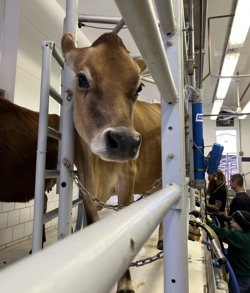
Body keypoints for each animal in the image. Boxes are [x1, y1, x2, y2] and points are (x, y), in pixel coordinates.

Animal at [61, 32, 161, 292]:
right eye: (81, 78)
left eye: (139, 87)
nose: (125, 141)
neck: (96, 169)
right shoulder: (85, 189)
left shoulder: (127, 180)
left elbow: (126, 225)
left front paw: (124, 284)